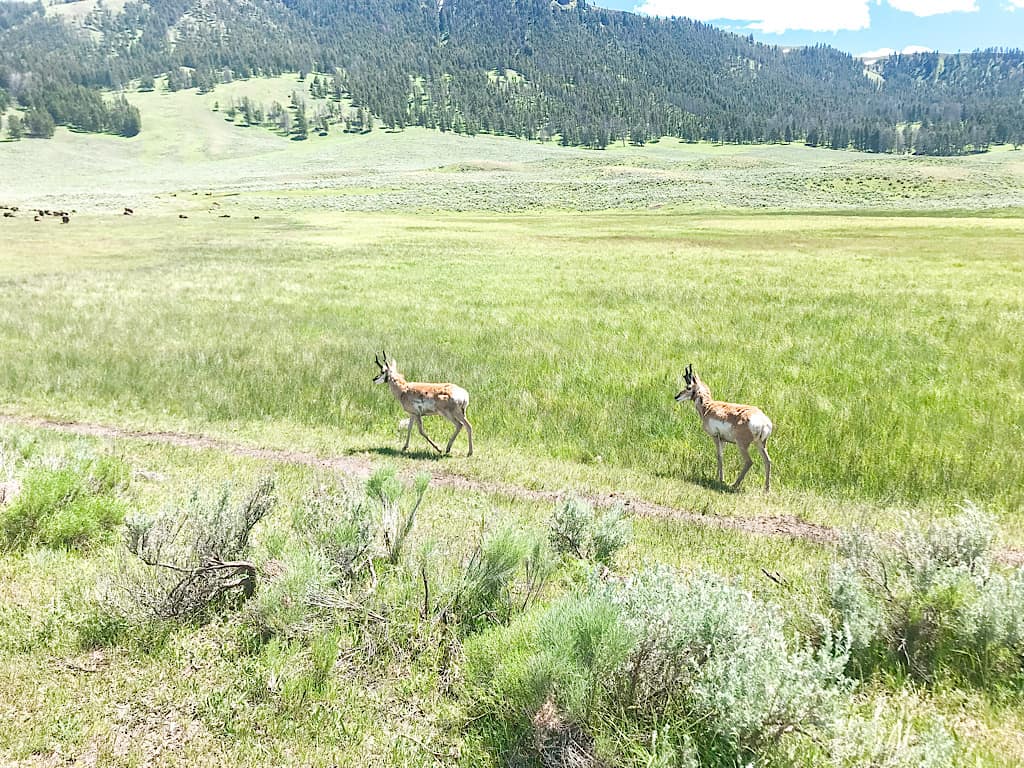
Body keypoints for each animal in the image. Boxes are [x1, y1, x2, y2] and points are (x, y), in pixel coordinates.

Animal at [675, 364, 770, 493]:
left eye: (688, 387)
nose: (676, 396)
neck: (708, 407)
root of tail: (764, 422)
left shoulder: (715, 437)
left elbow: (719, 456)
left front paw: (721, 479)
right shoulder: (723, 440)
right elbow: (721, 456)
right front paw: (717, 477)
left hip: (742, 445)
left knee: (749, 462)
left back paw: (734, 484)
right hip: (760, 444)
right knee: (767, 461)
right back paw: (766, 489)